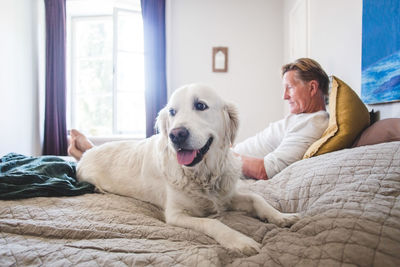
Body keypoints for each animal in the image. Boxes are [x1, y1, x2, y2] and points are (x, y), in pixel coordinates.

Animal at [76, 85, 298, 256]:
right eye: (172, 112)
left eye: (200, 105)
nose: (176, 135)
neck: (203, 174)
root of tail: (86, 153)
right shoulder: (175, 215)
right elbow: (213, 223)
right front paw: (240, 240)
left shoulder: (225, 196)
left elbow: (256, 198)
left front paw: (281, 216)